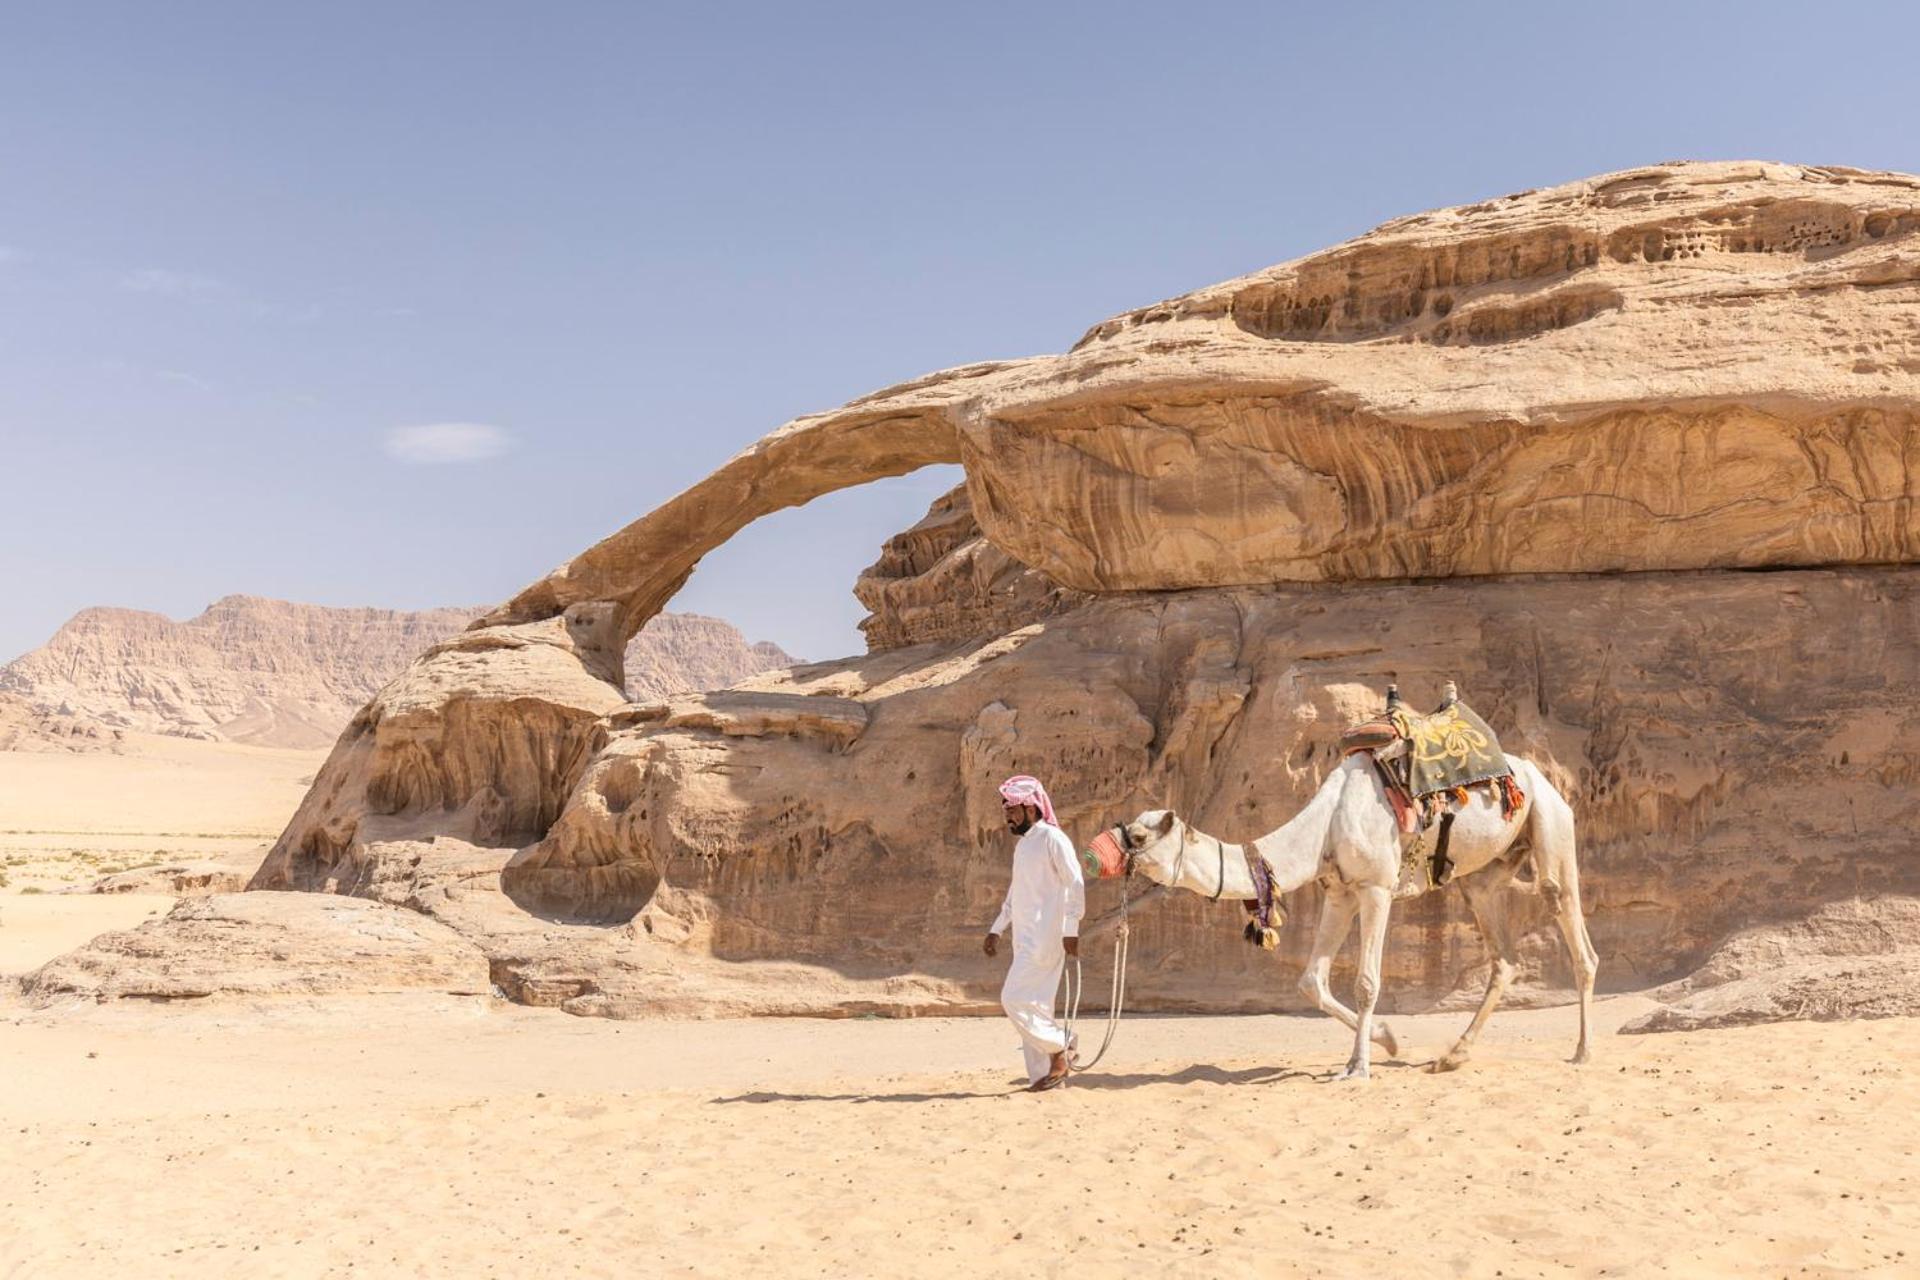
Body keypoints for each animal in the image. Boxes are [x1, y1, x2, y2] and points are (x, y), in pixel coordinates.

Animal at [1121, 752, 1597, 1082]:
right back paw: (1452, 1056)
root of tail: (1541, 778)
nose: (1109, 849)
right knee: (1504, 957)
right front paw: (1386, 1039)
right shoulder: (1339, 893)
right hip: (1485, 874)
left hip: (1551, 825)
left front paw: (1359, 1067)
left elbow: (1367, 983)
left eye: (1140, 836)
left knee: (1572, 928)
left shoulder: (1376, 888)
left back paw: (1582, 1052)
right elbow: (1310, 982)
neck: (1326, 826)